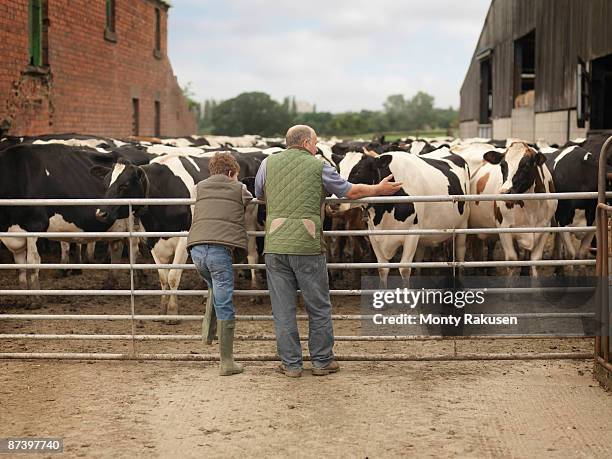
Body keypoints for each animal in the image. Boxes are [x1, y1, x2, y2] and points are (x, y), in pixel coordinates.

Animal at [334, 151, 468, 288]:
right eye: (337, 170)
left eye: (358, 171)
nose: (335, 202)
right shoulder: (373, 235)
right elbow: (382, 269)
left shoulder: (412, 234)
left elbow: (404, 269)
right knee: (419, 257)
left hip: (463, 226)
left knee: (460, 253)